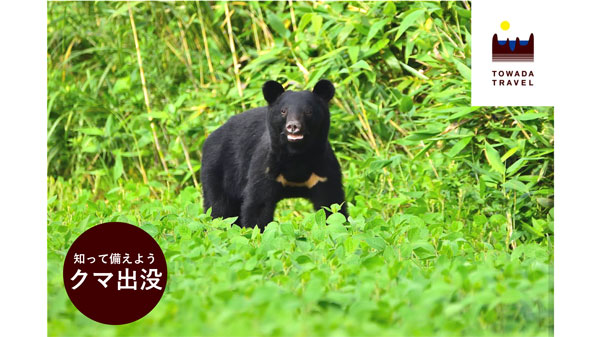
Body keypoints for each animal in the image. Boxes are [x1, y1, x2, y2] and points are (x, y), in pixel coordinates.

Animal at [200, 80, 346, 230]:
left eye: (308, 111)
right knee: (218, 208)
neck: (296, 156)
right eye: (283, 111)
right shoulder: (266, 168)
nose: (293, 126)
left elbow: (331, 204)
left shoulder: (322, 171)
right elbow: (258, 206)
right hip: (217, 170)